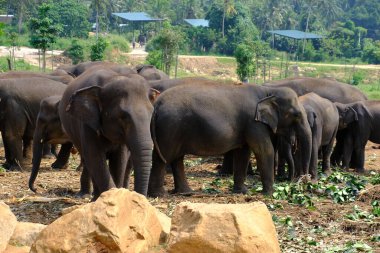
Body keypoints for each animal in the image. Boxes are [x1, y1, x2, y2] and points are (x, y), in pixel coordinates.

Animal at [58, 67, 155, 200]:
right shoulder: (87, 124)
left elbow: (120, 160)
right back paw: (91, 197)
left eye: (152, 113)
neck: (110, 79)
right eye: (123, 116)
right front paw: (111, 197)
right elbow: (95, 157)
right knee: (88, 160)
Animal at [148, 82, 312, 197]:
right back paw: (159, 195)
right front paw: (269, 194)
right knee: (163, 158)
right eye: (296, 114)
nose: (304, 180)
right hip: (170, 127)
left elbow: (243, 153)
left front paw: (242, 192)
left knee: (176, 158)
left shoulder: (247, 126)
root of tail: (157, 105)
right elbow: (264, 150)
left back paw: (186, 193)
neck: (269, 91)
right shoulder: (254, 123)